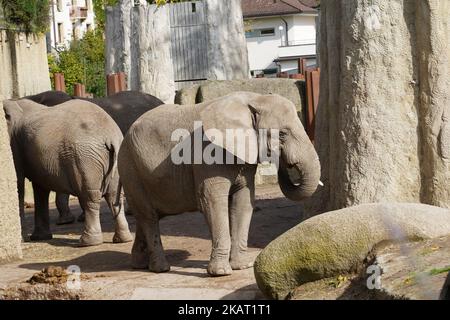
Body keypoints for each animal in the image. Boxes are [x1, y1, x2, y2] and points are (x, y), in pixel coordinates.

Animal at [3, 99, 132, 246]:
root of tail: (111, 135)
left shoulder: (14, 144)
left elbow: (19, 183)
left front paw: (23, 240)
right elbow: (40, 188)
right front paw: (40, 238)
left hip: (84, 158)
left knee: (89, 195)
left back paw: (88, 242)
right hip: (113, 156)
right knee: (114, 195)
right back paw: (122, 239)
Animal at [116, 91, 320, 276]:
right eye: (283, 134)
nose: (284, 163)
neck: (254, 98)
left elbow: (243, 201)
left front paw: (242, 267)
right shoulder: (207, 154)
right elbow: (212, 202)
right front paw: (221, 272)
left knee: (147, 215)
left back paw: (140, 265)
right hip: (130, 167)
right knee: (149, 216)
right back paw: (160, 268)